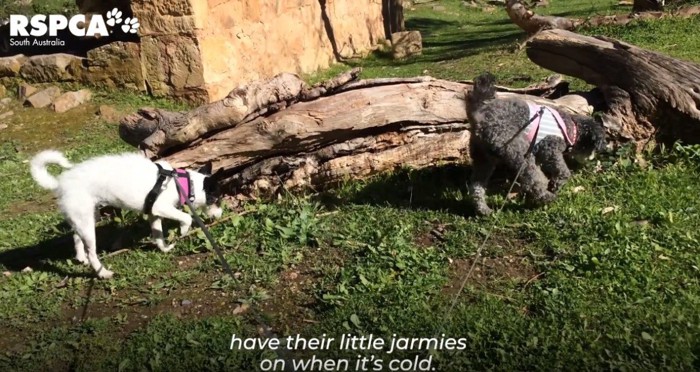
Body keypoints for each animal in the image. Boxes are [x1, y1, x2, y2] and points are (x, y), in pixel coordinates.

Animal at [28, 150, 221, 278]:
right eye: (217, 199)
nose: (220, 214)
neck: (181, 183)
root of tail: (60, 184)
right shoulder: (162, 208)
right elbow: (186, 217)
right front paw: (183, 230)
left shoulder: (153, 214)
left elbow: (158, 235)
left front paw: (164, 248)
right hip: (87, 224)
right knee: (92, 252)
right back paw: (102, 272)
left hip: (86, 216)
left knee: (76, 236)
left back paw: (80, 257)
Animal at [464, 72, 608, 215]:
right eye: (593, 148)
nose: (590, 160)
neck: (570, 127)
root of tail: (480, 116)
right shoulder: (550, 149)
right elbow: (562, 170)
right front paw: (557, 183)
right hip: (518, 150)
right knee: (533, 179)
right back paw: (546, 197)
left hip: (483, 158)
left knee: (476, 186)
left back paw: (484, 210)